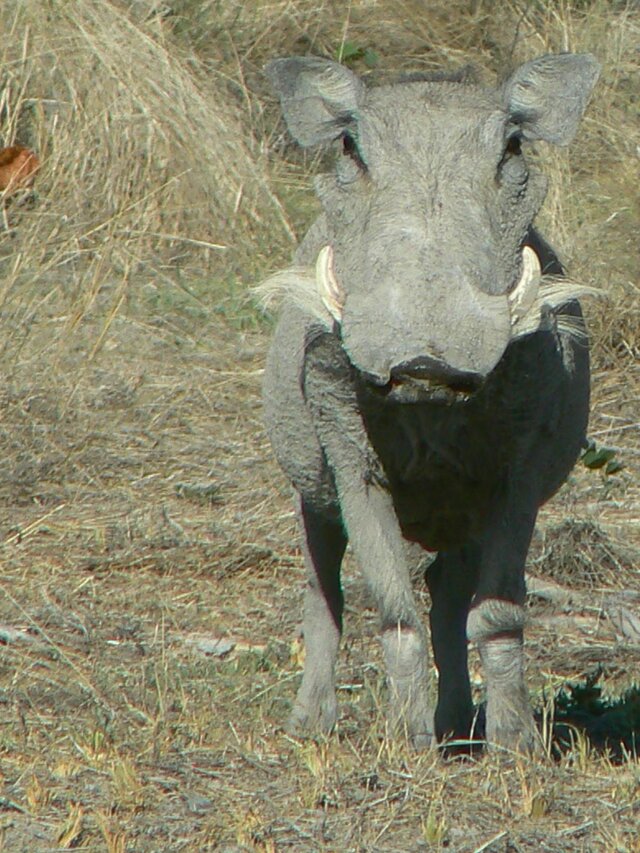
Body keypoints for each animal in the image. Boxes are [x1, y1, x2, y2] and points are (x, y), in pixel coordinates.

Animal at [259, 51, 600, 752]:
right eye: (350, 147)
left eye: (512, 147)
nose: (425, 363)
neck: (430, 412)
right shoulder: (353, 468)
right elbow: (395, 612)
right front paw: (410, 748)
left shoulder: (517, 481)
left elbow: (497, 613)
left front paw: (514, 748)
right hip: (313, 495)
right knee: (323, 591)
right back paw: (312, 725)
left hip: (462, 518)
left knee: (447, 595)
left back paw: (459, 727)